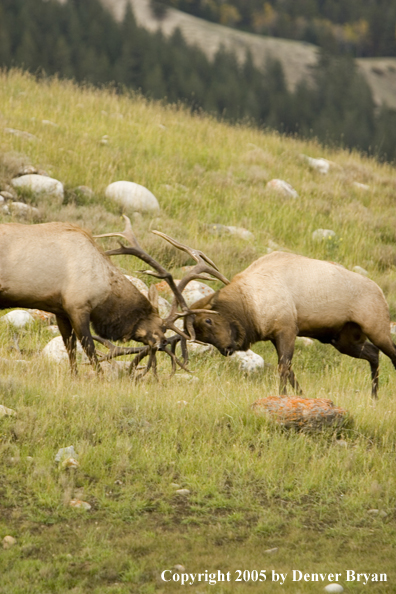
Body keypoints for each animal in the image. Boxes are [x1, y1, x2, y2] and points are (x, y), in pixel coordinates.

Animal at [188, 249, 396, 394]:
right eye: (201, 336)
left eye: (208, 320)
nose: (227, 349)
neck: (252, 308)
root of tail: (381, 292)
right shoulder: (276, 335)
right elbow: (290, 372)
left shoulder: (287, 328)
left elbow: (283, 369)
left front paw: (283, 397)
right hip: (345, 339)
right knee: (374, 354)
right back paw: (373, 398)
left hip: (377, 328)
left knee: (391, 354)